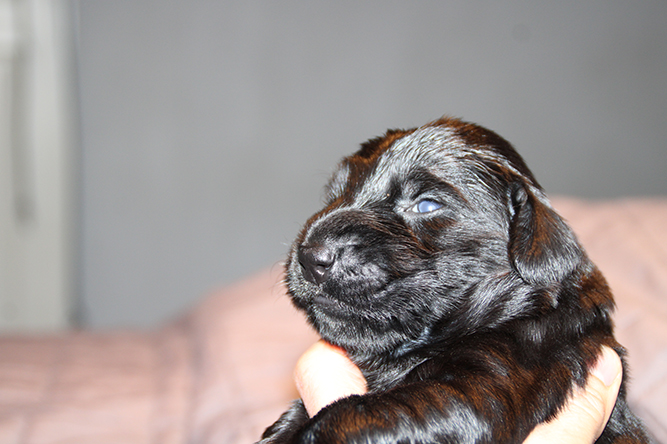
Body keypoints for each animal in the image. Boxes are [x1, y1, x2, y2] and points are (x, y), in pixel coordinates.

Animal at [259, 117, 648, 443]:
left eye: (427, 205)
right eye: (335, 195)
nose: (310, 256)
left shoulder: (480, 388)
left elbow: (340, 418)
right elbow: (293, 419)